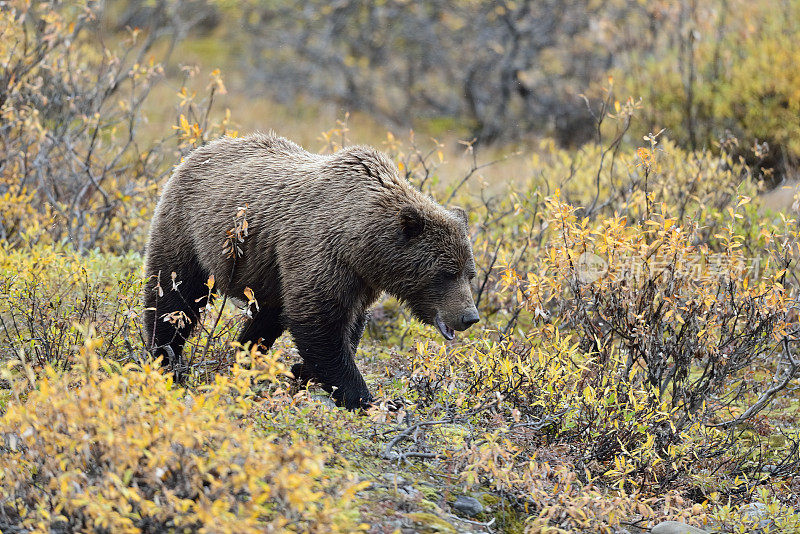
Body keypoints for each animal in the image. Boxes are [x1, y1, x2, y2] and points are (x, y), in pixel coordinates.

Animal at [143, 133, 478, 410]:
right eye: (446, 273)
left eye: (469, 273)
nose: (469, 316)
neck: (361, 244)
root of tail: (198, 151)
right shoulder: (321, 253)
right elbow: (319, 325)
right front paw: (365, 398)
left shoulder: (359, 280)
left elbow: (350, 326)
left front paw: (302, 371)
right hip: (187, 232)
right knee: (175, 296)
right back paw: (166, 360)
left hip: (269, 271)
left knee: (265, 318)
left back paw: (244, 359)